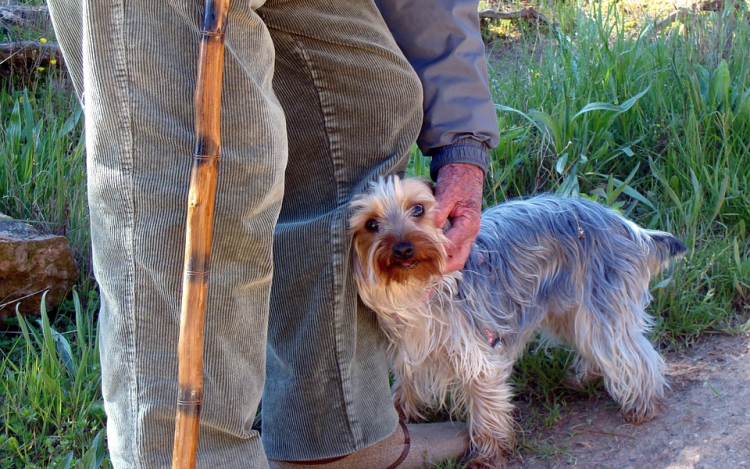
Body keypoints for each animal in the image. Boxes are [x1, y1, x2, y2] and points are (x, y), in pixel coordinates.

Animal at [352, 175, 688, 464]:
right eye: (371, 224)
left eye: (418, 209)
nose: (403, 248)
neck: (416, 289)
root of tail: (627, 226)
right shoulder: (410, 349)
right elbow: (404, 387)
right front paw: (400, 420)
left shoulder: (478, 353)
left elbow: (486, 404)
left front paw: (487, 455)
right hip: (567, 308)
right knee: (593, 342)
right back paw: (583, 377)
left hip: (602, 300)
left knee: (631, 351)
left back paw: (642, 404)